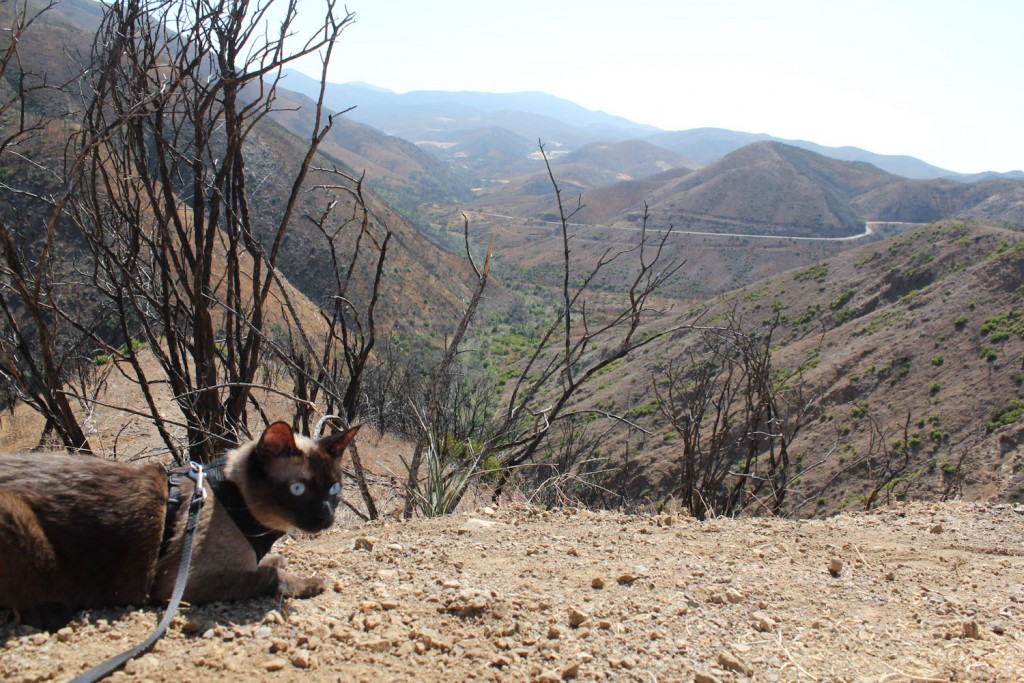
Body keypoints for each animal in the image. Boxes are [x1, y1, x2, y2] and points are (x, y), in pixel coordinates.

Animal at [0, 419, 360, 626]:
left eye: (334, 489)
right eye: (298, 489)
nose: (326, 516)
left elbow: (269, 563)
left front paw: (274, 558)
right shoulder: (182, 582)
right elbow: (270, 576)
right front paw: (311, 582)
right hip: (14, 515)